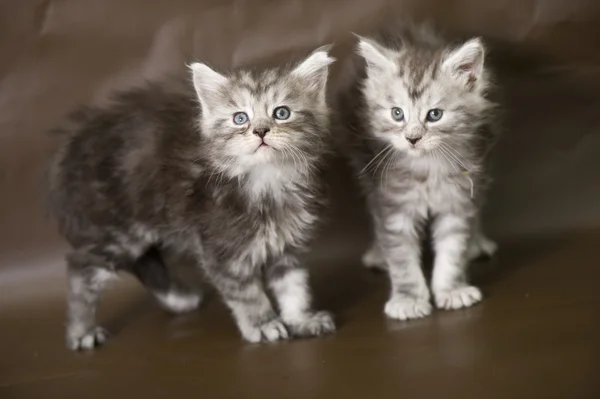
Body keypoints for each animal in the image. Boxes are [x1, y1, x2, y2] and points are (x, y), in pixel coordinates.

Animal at [45, 45, 338, 350]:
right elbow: (248, 294)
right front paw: (263, 323)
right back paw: (81, 331)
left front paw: (300, 319)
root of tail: (76, 139)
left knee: (143, 262)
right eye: (240, 118)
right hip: (114, 228)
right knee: (81, 268)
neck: (266, 181)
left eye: (281, 113)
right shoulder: (223, 252)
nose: (260, 131)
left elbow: (293, 286)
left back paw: (179, 299)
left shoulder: (288, 245)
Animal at [340, 27, 500, 322]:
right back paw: (378, 253)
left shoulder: (458, 198)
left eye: (434, 115)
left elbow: (453, 249)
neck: (427, 168)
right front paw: (408, 299)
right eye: (397, 114)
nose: (412, 138)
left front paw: (452, 290)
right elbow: (401, 257)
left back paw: (476, 242)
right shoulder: (393, 204)